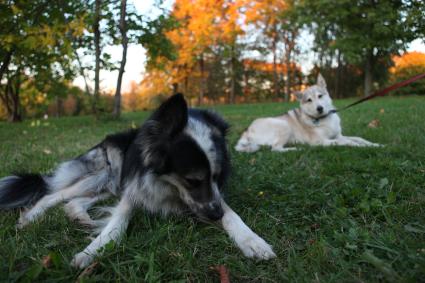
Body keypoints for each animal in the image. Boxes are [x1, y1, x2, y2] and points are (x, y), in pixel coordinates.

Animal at [0, 94, 274, 270]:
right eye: (192, 180)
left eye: (217, 177)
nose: (215, 216)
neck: (168, 186)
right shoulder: (135, 188)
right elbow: (117, 222)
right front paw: (93, 251)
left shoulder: (209, 200)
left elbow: (231, 213)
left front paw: (252, 241)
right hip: (106, 173)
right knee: (54, 194)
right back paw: (30, 217)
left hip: (111, 184)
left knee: (77, 201)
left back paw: (81, 218)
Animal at [234, 74, 380, 153]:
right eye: (309, 100)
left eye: (320, 96)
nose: (319, 108)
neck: (324, 119)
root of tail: (246, 131)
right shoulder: (321, 141)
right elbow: (347, 142)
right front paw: (359, 146)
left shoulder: (339, 135)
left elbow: (358, 138)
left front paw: (375, 145)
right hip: (283, 125)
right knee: (275, 149)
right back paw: (296, 149)